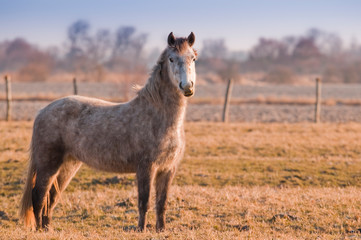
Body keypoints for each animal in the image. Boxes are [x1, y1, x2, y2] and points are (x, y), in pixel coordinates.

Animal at [19, 31, 197, 232]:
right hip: (48, 165)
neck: (160, 117)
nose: (187, 87)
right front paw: (141, 230)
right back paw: (39, 230)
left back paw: (48, 228)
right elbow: (144, 202)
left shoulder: (167, 169)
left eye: (193, 58)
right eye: (171, 59)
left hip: (67, 165)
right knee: (39, 196)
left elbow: (162, 203)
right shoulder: (146, 167)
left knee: (51, 197)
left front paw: (161, 230)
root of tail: (42, 111)